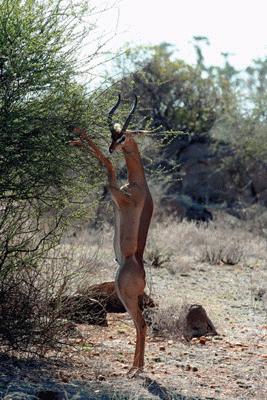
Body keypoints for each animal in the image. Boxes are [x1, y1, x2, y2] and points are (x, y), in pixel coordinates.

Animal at [70, 95, 154, 376]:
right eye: (113, 133)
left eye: (123, 136)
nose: (111, 147)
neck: (138, 185)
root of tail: (142, 273)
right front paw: (75, 138)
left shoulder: (116, 192)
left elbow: (107, 168)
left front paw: (79, 133)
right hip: (126, 295)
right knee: (140, 324)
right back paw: (134, 368)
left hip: (125, 293)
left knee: (142, 324)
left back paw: (135, 370)